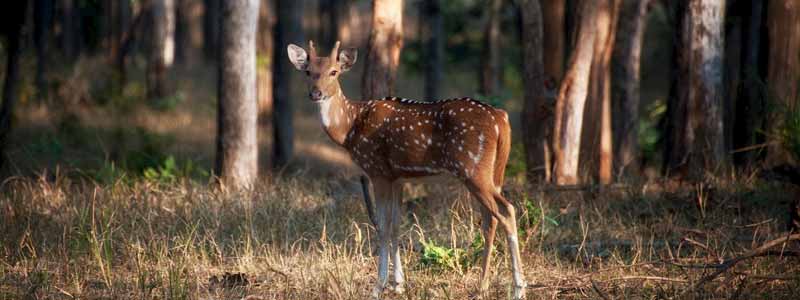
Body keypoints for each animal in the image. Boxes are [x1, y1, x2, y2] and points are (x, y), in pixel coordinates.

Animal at [288, 41, 524, 298]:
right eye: (308, 71)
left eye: (334, 72)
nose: (316, 93)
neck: (350, 128)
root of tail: (501, 119)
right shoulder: (398, 177)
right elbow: (396, 225)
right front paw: (398, 283)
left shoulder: (377, 170)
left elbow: (381, 226)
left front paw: (378, 286)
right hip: (493, 172)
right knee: (490, 220)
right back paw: (482, 287)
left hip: (473, 168)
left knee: (506, 211)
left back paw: (519, 288)